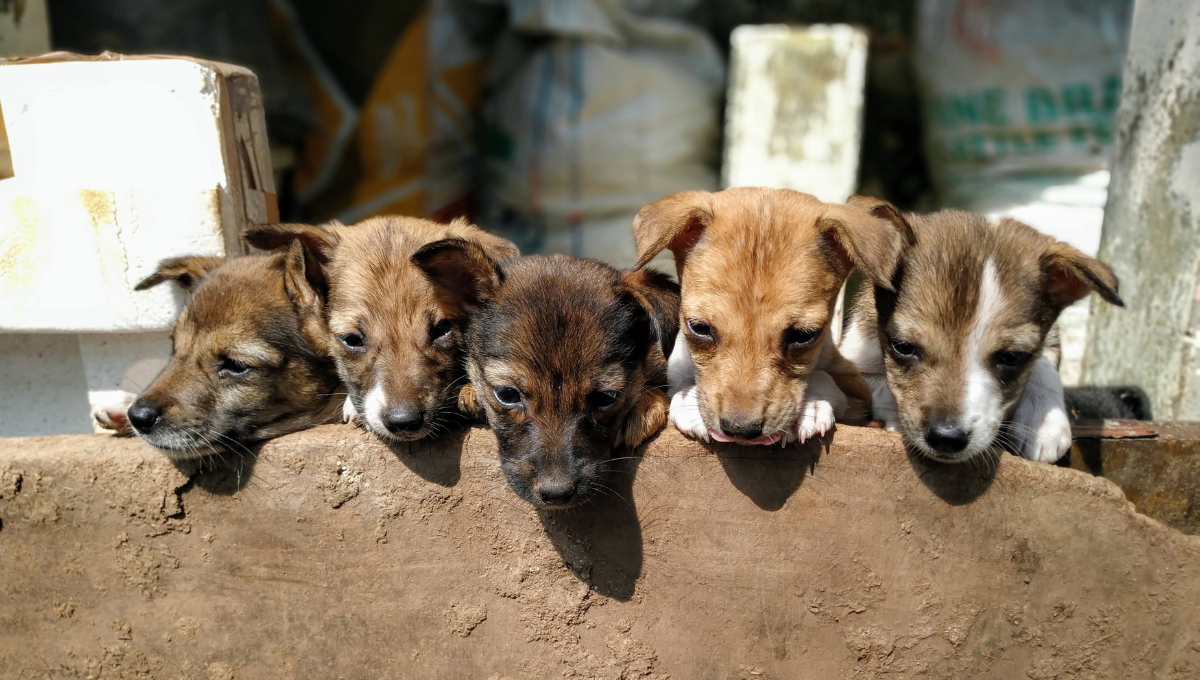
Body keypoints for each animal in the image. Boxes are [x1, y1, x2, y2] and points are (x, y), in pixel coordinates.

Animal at [633, 189, 902, 448]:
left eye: (804, 336)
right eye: (699, 328)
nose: (740, 431)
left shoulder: (859, 390)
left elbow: (823, 377)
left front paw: (811, 406)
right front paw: (689, 402)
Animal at [835, 196, 1123, 462]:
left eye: (1012, 357)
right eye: (903, 347)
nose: (946, 437)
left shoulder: (1045, 341)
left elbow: (1043, 364)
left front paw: (1042, 420)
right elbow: (877, 384)